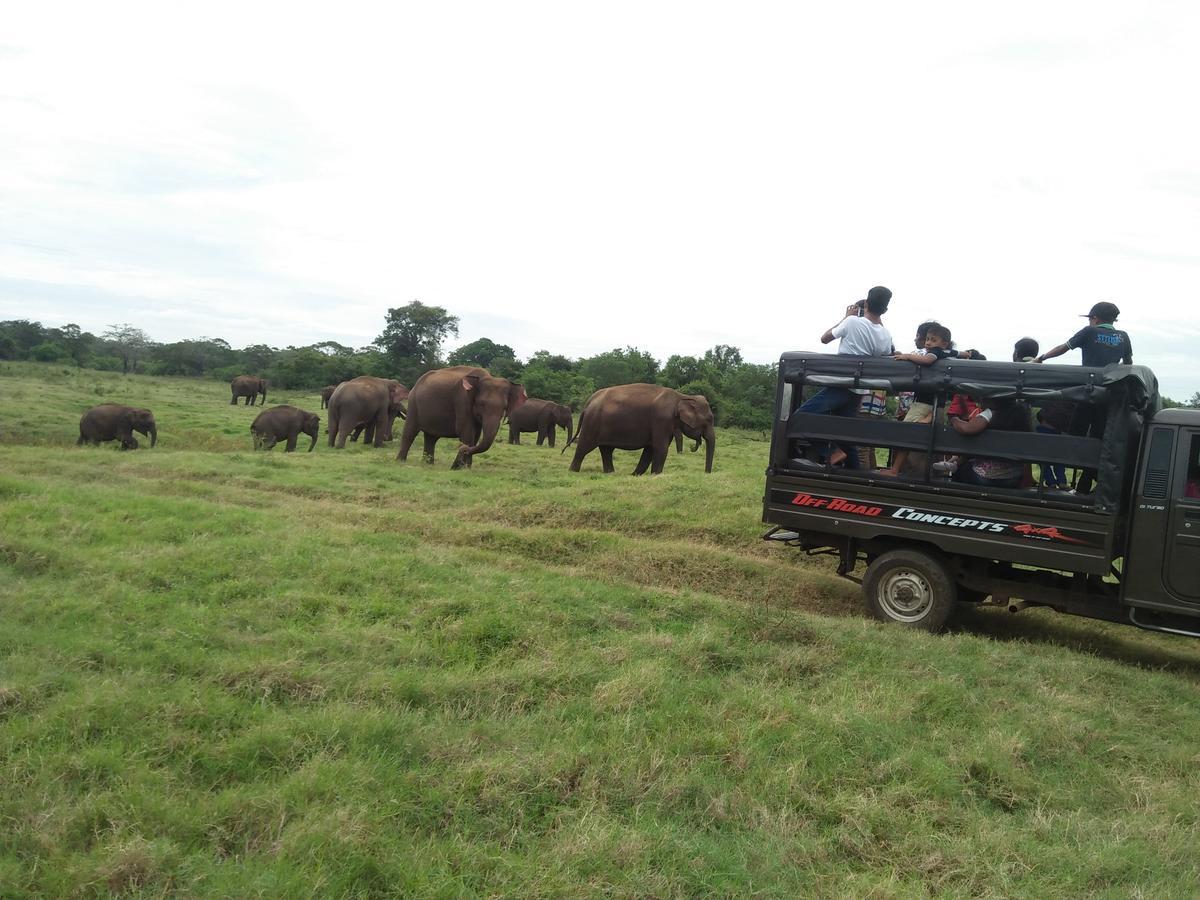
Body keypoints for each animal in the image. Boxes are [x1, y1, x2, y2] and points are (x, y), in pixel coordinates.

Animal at [564, 384, 710, 475]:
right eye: (708, 421)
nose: (706, 473)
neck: (681, 396)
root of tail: (588, 403)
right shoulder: (661, 420)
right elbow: (660, 448)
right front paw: (655, 475)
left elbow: (650, 449)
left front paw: (635, 475)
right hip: (592, 423)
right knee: (584, 447)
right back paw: (572, 471)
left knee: (606, 449)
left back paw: (610, 473)